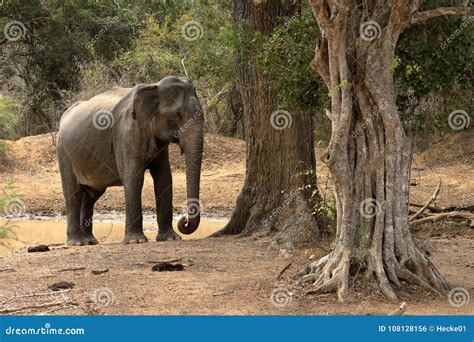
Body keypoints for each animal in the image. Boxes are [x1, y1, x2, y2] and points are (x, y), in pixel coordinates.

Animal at [56, 76, 203, 244]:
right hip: (64, 152)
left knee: (91, 196)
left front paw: (170, 239)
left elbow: (164, 177)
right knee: (73, 193)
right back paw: (78, 242)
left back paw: (90, 241)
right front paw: (136, 241)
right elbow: (134, 177)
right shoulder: (125, 132)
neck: (153, 87)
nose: (184, 221)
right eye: (177, 114)